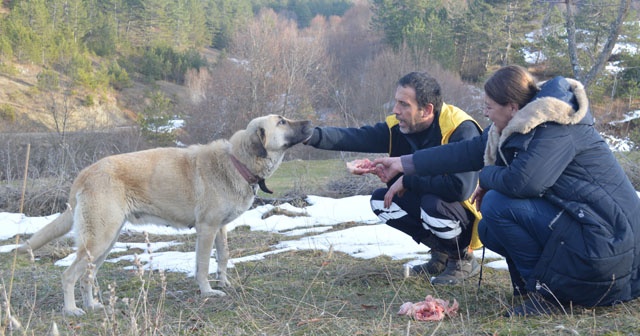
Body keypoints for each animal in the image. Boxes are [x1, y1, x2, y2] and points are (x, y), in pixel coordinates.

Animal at [16, 115, 312, 316]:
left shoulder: (220, 228)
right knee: (69, 276)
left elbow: (223, 257)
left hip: (105, 242)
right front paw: (208, 291)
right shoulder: (206, 229)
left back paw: (93, 305)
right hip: (99, 239)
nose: (311, 122)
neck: (237, 162)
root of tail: (85, 173)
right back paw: (72, 310)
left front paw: (225, 283)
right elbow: (202, 265)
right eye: (282, 121)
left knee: (87, 277)